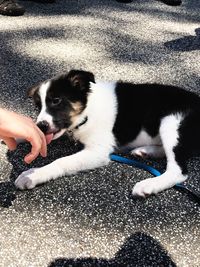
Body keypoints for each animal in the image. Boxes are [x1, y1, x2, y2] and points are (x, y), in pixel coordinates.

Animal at [14, 70, 200, 198]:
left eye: (56, 100)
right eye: (38, 106)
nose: (42, 126)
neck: (87, 111)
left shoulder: (98, 151)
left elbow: (61, 161)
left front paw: (33, 175)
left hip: (171, 123)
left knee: (178, 170)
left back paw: (149, 184)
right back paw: (145, 151)